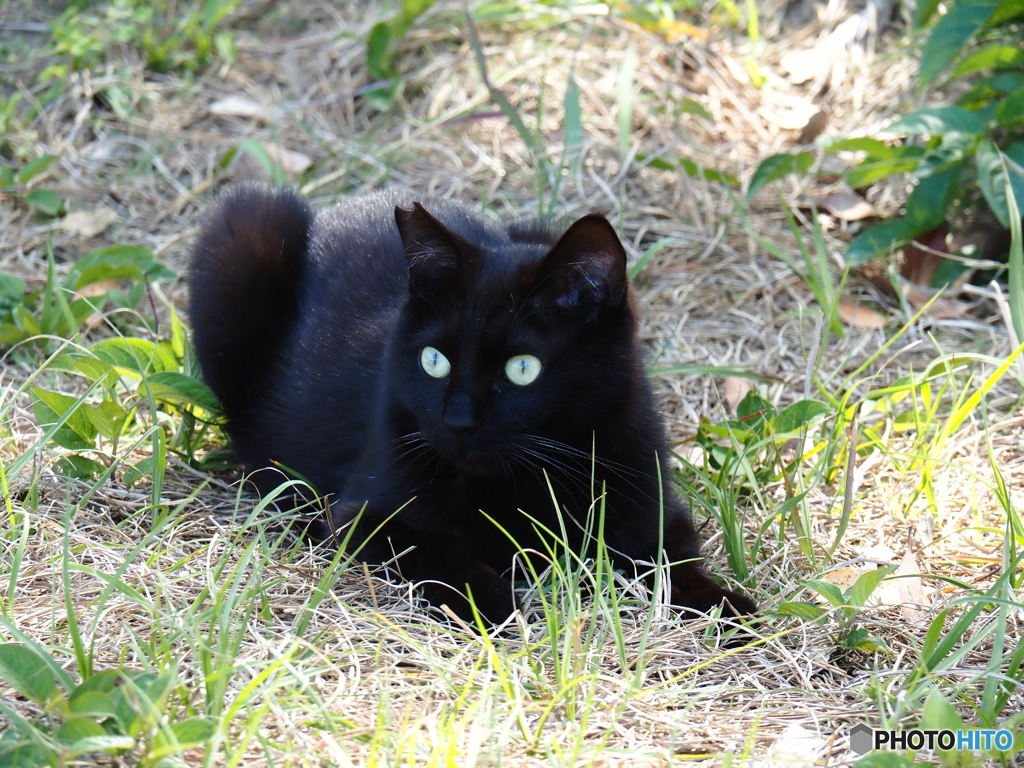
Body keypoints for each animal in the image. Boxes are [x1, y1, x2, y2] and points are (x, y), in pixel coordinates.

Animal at [188, 185, 757, 626]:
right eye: (434, 360)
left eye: (522, 368)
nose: (457, 421)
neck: (534, 479)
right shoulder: (362, 514)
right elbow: (437, 552)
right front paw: (496, 606)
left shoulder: (652, 510)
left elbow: (676, 567)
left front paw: (729, 609)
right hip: (245, 223)